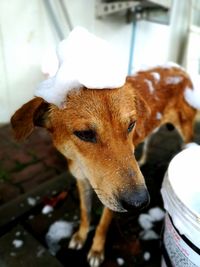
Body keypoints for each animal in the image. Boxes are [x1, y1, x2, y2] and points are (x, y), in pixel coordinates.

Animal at [10, 65, 197, 267]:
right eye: (85, 134)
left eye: (131, 125)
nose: (139, 202)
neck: (81, 165)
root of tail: (179, 69)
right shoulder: (82, 181)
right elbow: (85, 212)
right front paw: (81, 235)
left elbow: (103, 224)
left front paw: (96, 250)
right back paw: (143, 159)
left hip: (186, 129)